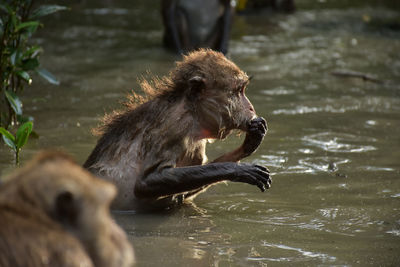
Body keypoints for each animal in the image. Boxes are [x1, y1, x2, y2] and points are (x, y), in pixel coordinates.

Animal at [84, 48, 272, 211]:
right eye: (238, 91)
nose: (251, 108)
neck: (192, 111)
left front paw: (249, 144)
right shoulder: (174, 127)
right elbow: (145, 183)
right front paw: (237, 170)